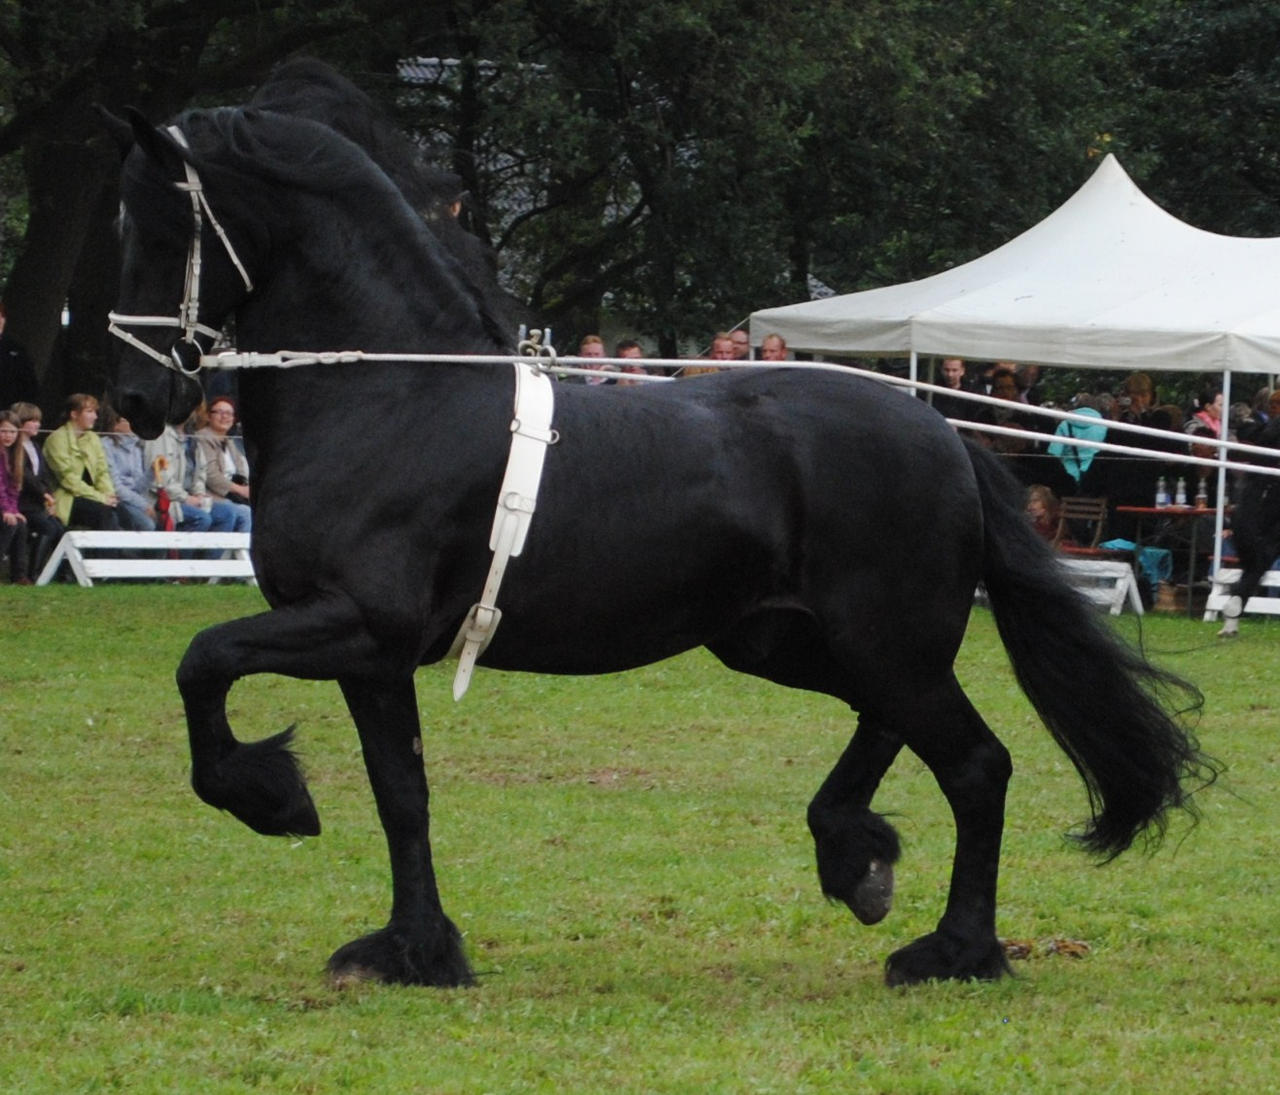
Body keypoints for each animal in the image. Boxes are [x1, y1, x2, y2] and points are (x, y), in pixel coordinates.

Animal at [107, 72, 1208, 988]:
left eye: (161, 228)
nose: (135, 400)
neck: (389, 394)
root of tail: (944, 434)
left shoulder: (357, 624)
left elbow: (204, 661)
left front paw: (273, 802)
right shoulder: (373, 659)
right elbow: (400, 795)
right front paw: (415, 951)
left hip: (877, 640)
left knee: (976, 766)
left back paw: (951, 950)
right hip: (783, 641)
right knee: (892, 727)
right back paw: (854, 855)